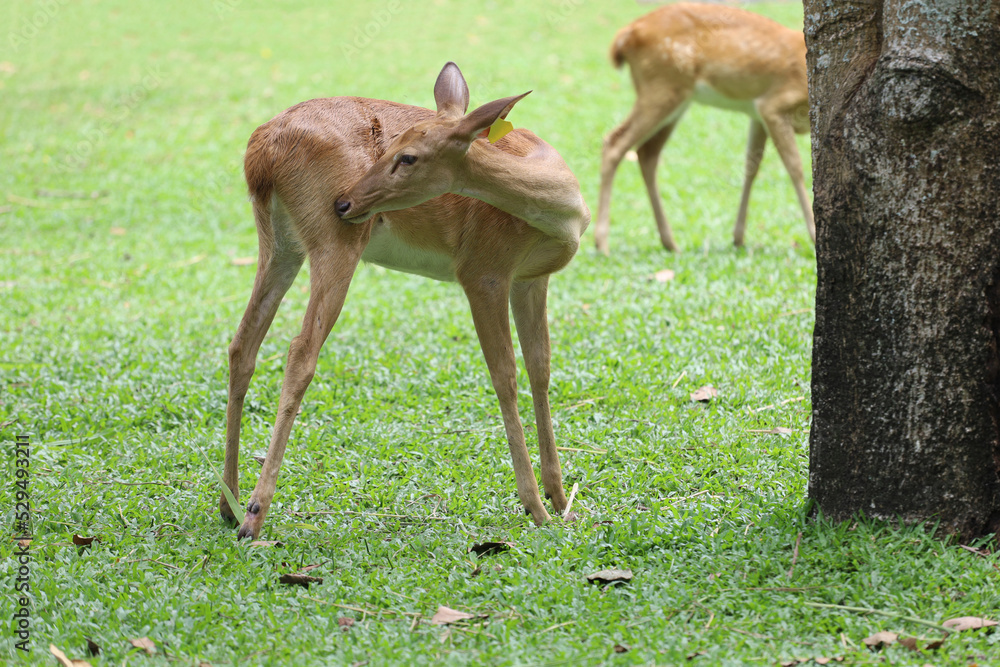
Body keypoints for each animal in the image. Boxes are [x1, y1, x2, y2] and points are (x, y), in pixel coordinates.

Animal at [220, 62, 590, 540]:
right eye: (389, 144)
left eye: (407, 155)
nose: (345, 201)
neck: (561, 210)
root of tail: (261, 151)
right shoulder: (483, 269)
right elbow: (504, 376)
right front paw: (536, 508)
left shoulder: (531, 278)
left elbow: (540, 370)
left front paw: (561, 500)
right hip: (335, 241)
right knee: (300, 352)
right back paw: (254, 514)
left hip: (280, 243)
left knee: (242, 344)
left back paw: (228, 504)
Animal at [594, 2, 816, 254]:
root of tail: (626, 34)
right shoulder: (773, 105)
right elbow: (795, 167)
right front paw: (813, 234)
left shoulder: (757, 114)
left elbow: (752, 166)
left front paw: (738, 237)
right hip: (660, 87)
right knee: (615, 143)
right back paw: (602, 244)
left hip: (674, 96)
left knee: (646, 153)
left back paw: (670, 243)